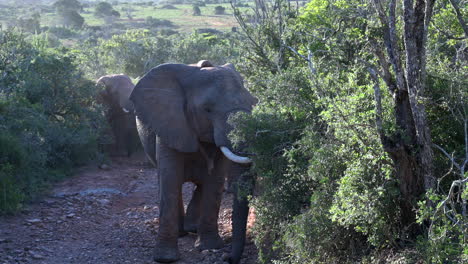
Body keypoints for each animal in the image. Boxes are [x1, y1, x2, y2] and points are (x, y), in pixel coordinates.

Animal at [130, 60, 258, 264]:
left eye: (253, 102)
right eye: (207, 109)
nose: (227, 258)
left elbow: (214, 182)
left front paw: (210, 247)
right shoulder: (170, 124)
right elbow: (170, 181)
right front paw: (165, 258)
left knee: (202, 184)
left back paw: (191, 228)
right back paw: (182, 232)